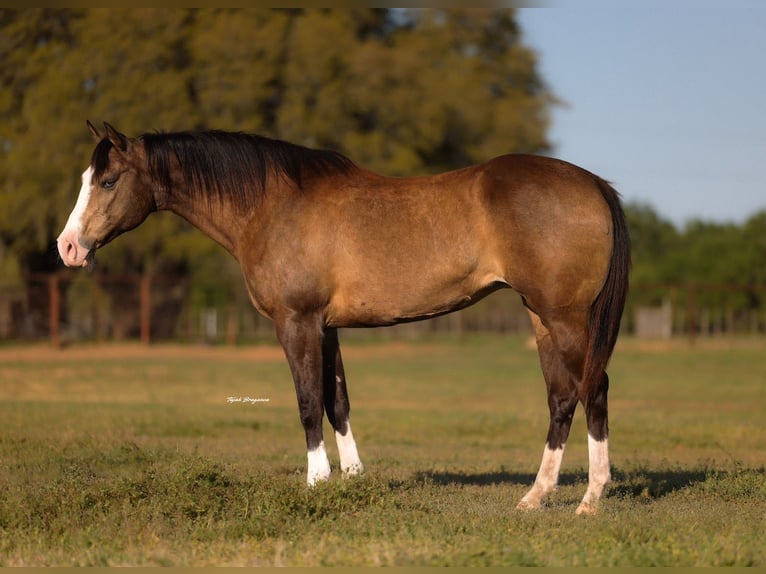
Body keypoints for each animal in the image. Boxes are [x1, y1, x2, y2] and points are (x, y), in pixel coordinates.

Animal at [57, 121, 630, 514]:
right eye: (88, 177)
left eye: (108, 181)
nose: (68, 247)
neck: (272, 205)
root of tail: (594, 184)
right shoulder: (326, 327)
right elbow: (338, 401)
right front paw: (353, 478)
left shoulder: (297, 322)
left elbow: (309, 402)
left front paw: (317, 483)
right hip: (541, 319)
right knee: (561, 398)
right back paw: (536, 496)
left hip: (566, 319)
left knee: (594, 388)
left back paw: (590, 498)